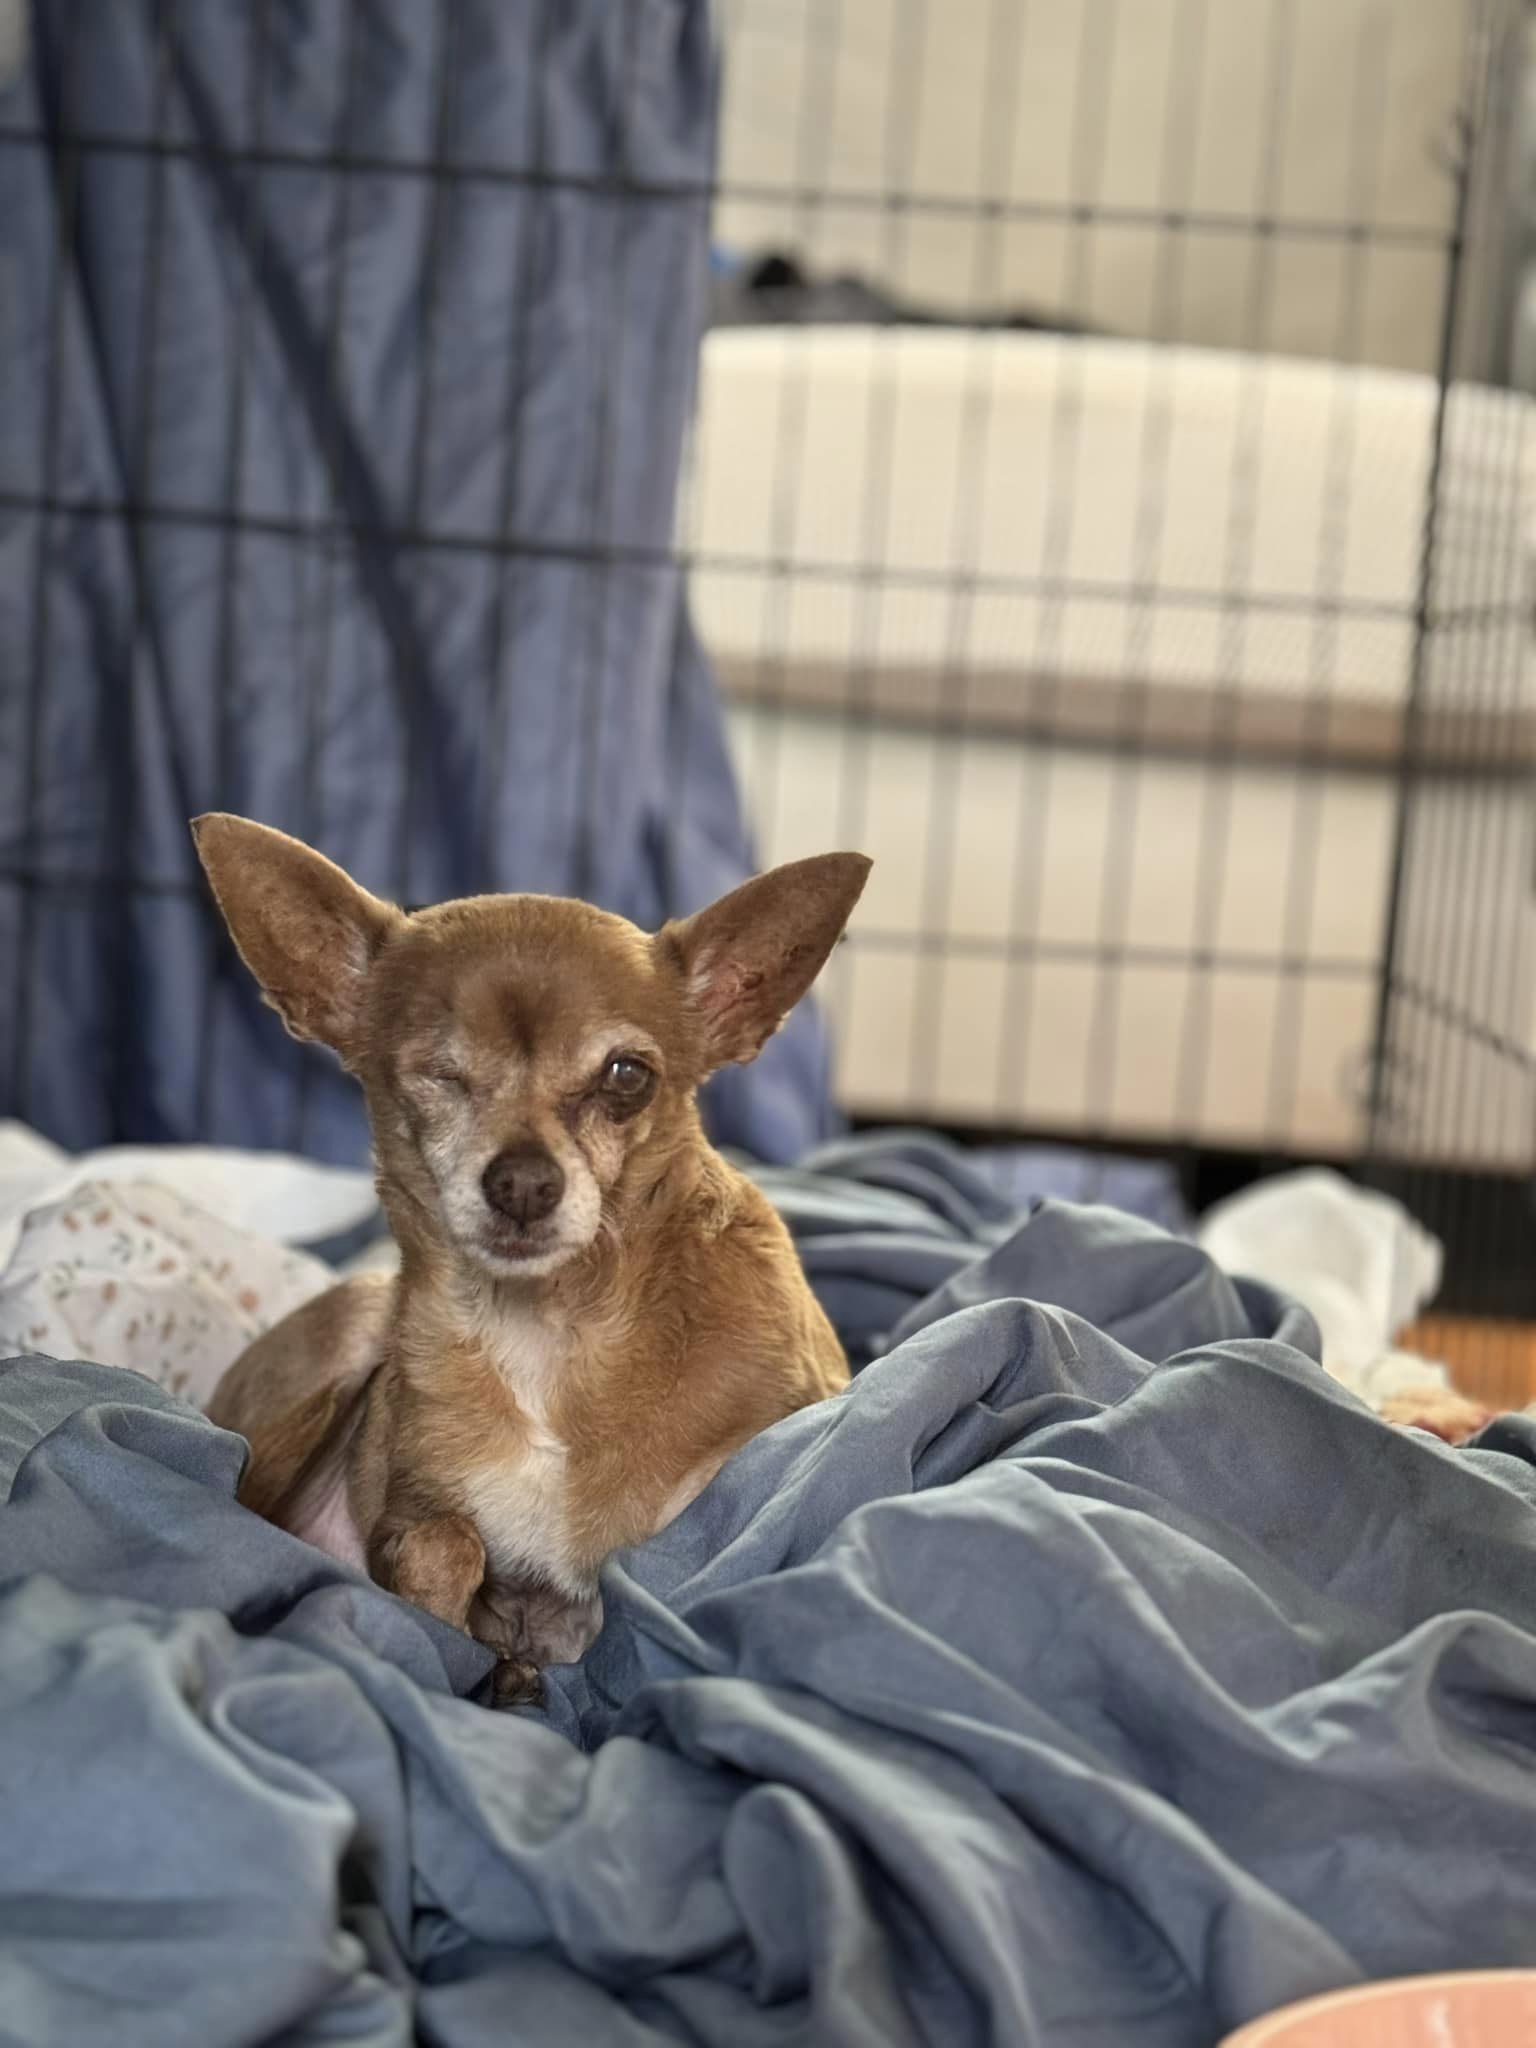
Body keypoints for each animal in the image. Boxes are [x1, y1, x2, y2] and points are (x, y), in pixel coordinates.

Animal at [196, 815, 872, 1695]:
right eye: (439, 1074)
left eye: (627, 1076)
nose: (522, 1182)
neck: (552, 1333)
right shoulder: (414, 1507)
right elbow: (441, 1543)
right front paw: (481, 1653)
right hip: (336, 1369)